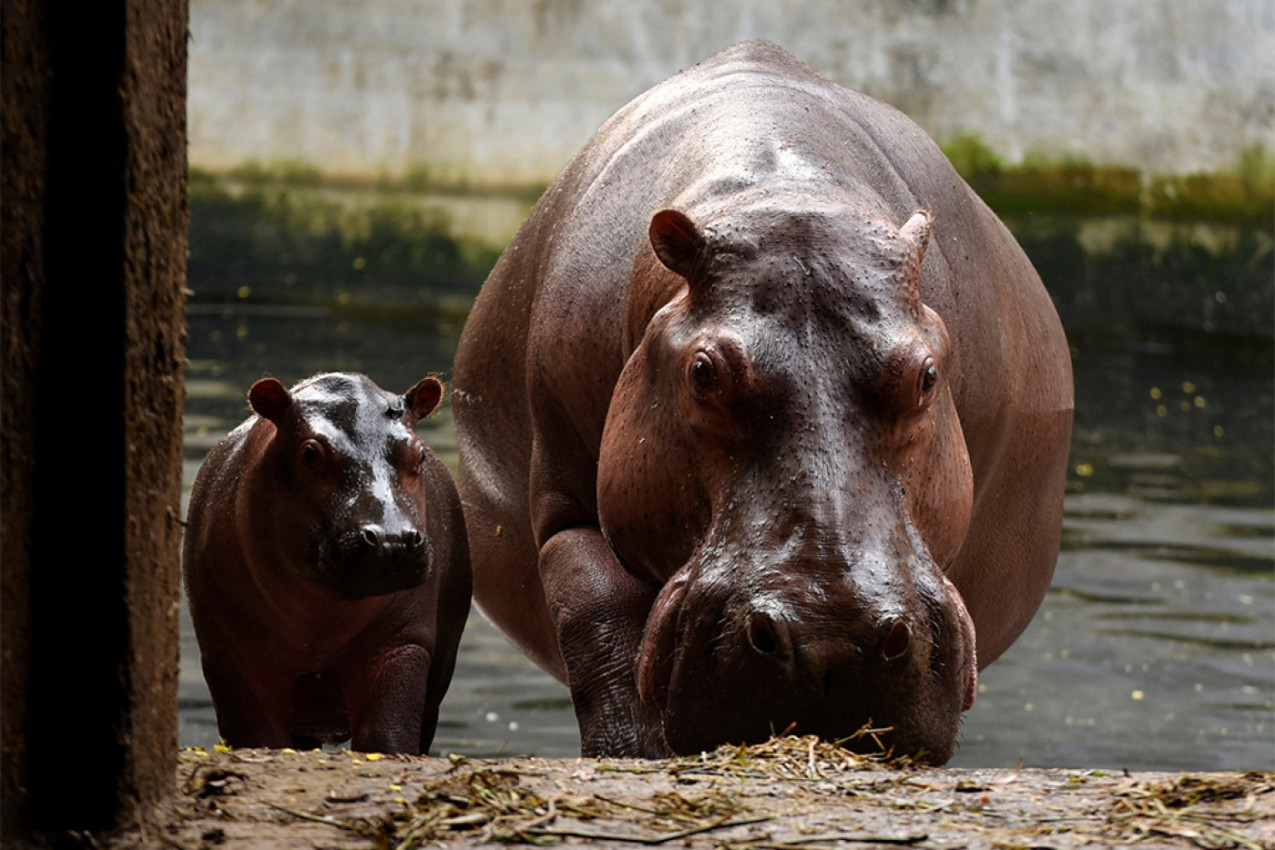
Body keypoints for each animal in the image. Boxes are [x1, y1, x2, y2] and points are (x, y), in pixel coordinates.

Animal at [182, 372, 471, 749]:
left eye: (419, 453)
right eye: (308, 453)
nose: (392, 540)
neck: (319, 619)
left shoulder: (401, 645)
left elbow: (386, 735)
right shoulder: (233, 656)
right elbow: (259, 735)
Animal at [453, 39, 1071, 764]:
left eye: (925, 375)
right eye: (702, 371)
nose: (828, 641)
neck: (784, 192)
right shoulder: (565, 509)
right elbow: (596, 624)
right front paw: (632, 749)